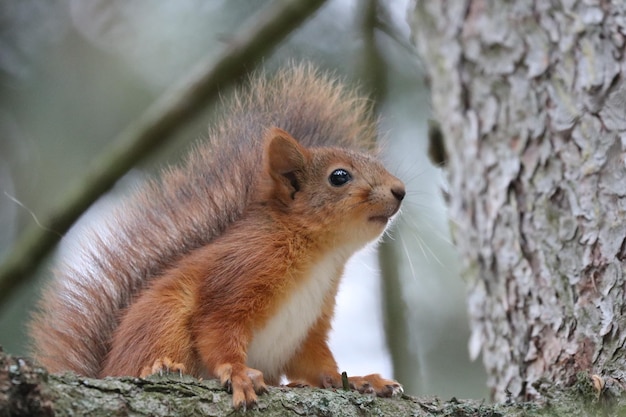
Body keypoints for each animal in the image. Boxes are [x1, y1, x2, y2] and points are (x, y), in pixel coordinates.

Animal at [30, 64, 404, 406]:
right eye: (339, 177)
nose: (400, 191)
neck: (322, 257)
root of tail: (107, 369)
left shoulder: (308, 328)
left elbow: (318, 364)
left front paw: (360, 380)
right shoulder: (238, 275)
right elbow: (218, 330)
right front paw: (238, 373)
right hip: (162, 320)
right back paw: (160, 367)